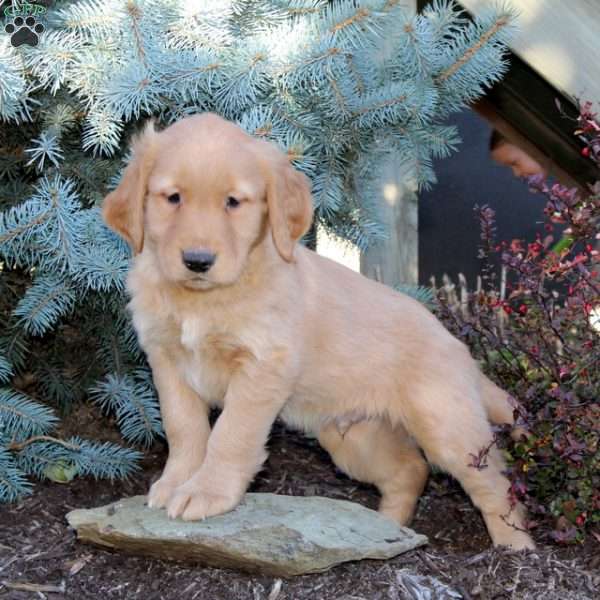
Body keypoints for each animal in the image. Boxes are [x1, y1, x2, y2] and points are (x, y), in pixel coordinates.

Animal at [102, 110, 536, 552]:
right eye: (173, 198)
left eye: (233, 202)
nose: (197, 260)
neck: (202, 299)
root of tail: (459, 348)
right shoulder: (167, 362)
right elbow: (183, 427)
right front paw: (175, 483)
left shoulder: (262, 368)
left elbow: (231, 433)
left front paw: (207, 492)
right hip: (352, 436)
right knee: (410, 470)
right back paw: (385, 528)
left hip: (447, 426)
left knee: (495, 484)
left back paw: (515, 547)